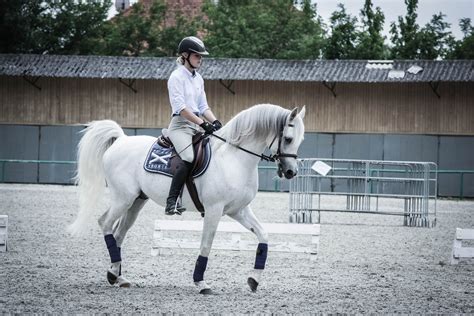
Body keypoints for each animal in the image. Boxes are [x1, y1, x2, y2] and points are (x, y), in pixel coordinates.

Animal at [67, 103, 308, 294]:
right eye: (288, 138)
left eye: (300, 139)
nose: (291, 172)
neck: (233, 159)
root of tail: (121, 140)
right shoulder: (214, 210)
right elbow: (206, 246)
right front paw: (201, 283)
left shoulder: (239, 210)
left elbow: (263, 237)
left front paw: (253, 280)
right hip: (122, 198)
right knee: (105, 223)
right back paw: (115, 273)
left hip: (137, 201)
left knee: (118, 233)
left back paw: (116, 276)